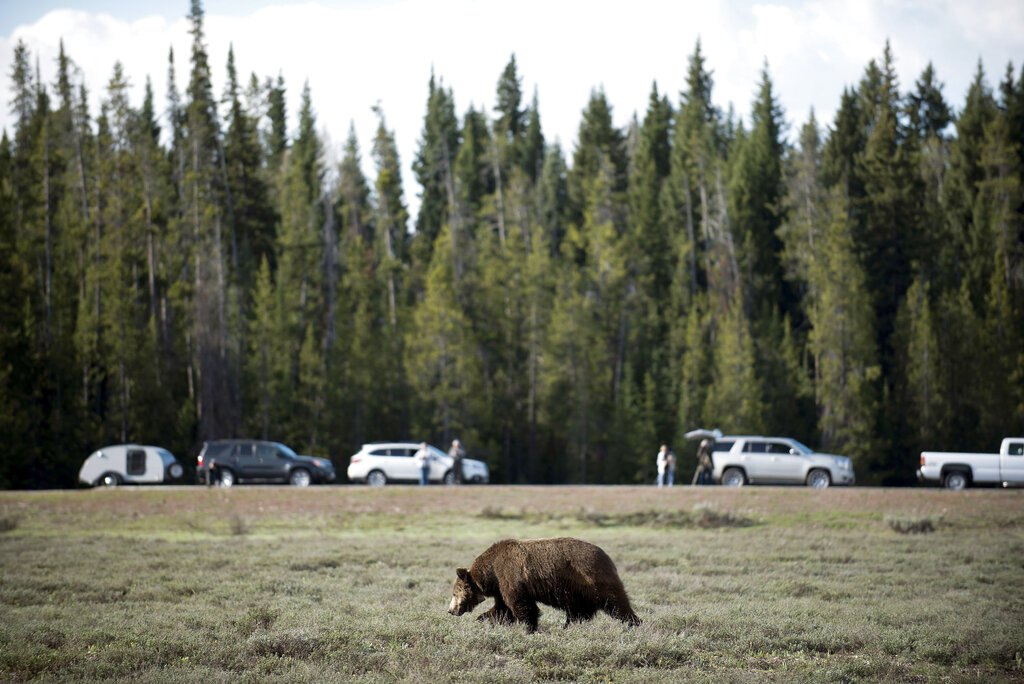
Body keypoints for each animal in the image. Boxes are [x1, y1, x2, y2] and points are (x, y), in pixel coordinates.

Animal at [448, 537, 641, 633]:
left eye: (454, 593)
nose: (450, 610)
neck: (491, 573)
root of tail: (607, 556)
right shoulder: (501, 588)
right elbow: (502, 609)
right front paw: (483, 618)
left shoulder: (510, 577)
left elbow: (522, 606)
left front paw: (528, 628)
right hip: (577, 591)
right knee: (578, 612)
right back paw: (568, 627)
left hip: (590, 578)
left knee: (615, 603)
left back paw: (634, 623)